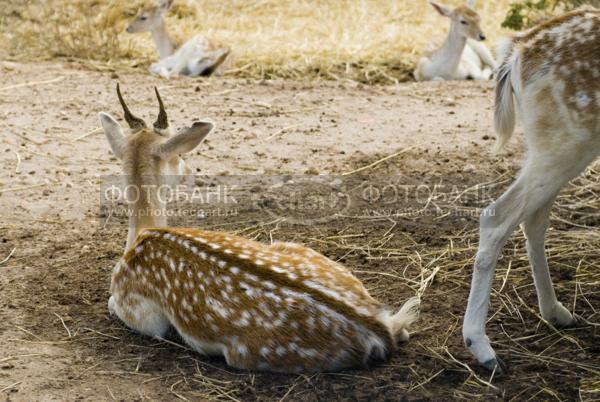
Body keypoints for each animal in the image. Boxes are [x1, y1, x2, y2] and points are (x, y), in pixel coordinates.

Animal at [97, 85, 418, 374]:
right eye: (179, 157)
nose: (189, 171)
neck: (140, 236)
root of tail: (379, 329)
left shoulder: (139, 311)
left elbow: (112, 303)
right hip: (299, 251)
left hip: (249, 353)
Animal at [460, 8, 600, 374]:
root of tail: (517, 53)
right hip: (567, 142)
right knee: (496, 216)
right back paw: (484, 349)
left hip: (553, 145)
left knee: (533, 221)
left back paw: (557, 312)